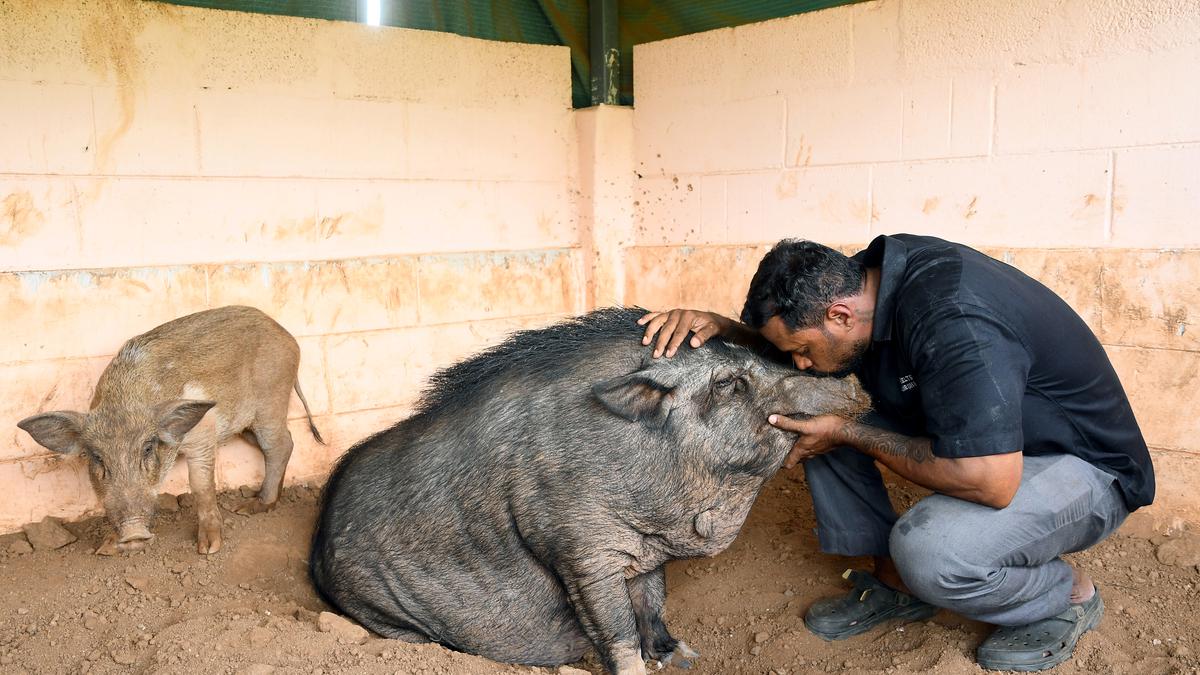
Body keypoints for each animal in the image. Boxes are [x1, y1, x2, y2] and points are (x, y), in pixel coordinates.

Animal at [19, 305, 328, 552]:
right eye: (96, 457)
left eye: (147, 448)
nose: (134, 534)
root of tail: (289, 337)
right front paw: (106, 550)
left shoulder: (203, 433)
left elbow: (201, 485)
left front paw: (208, 549)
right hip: (248, 424)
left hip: (271, 402)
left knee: (281, 445)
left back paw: (248, 508)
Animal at [309, 306, 868, 672]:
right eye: (729, 383)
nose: (854, 384)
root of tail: (318, 534)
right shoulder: (578, 547)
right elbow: (615, 626)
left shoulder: (645, 549)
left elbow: (652, 603)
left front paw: (683, 656)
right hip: (375, 605)